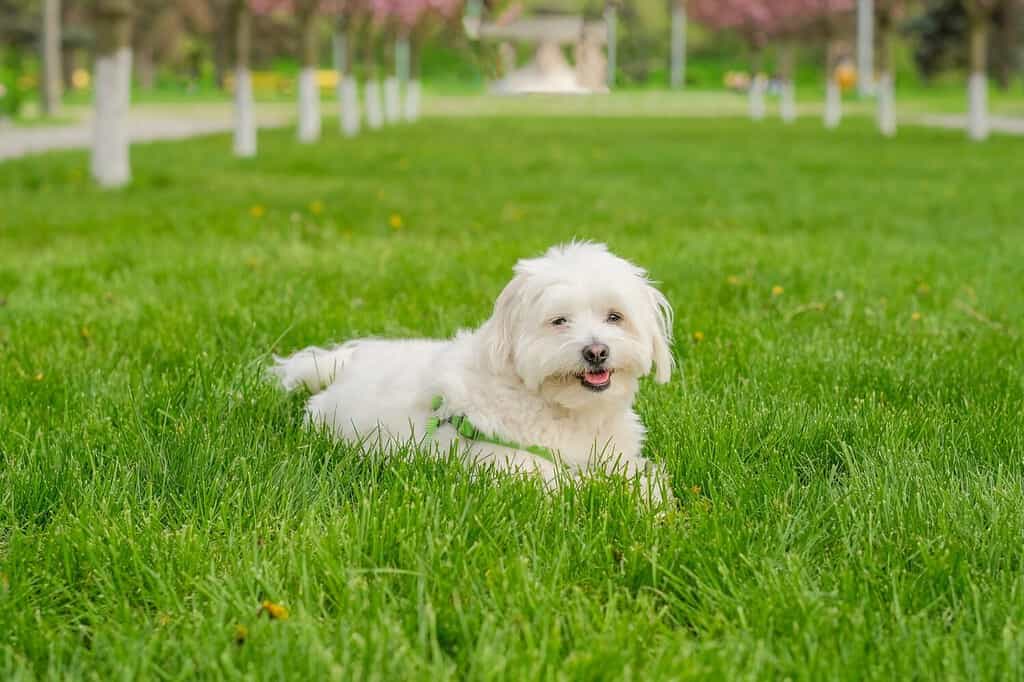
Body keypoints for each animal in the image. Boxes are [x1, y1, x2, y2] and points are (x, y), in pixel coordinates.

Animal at [272, 241, 675, 497]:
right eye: (559, 321)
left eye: (614, 317)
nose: (596, 352)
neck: (562, 407)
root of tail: (345, 365)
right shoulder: (517, 467)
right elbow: (581, 486)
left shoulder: (613, 454)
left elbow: (643, 477)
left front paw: (654, 501)